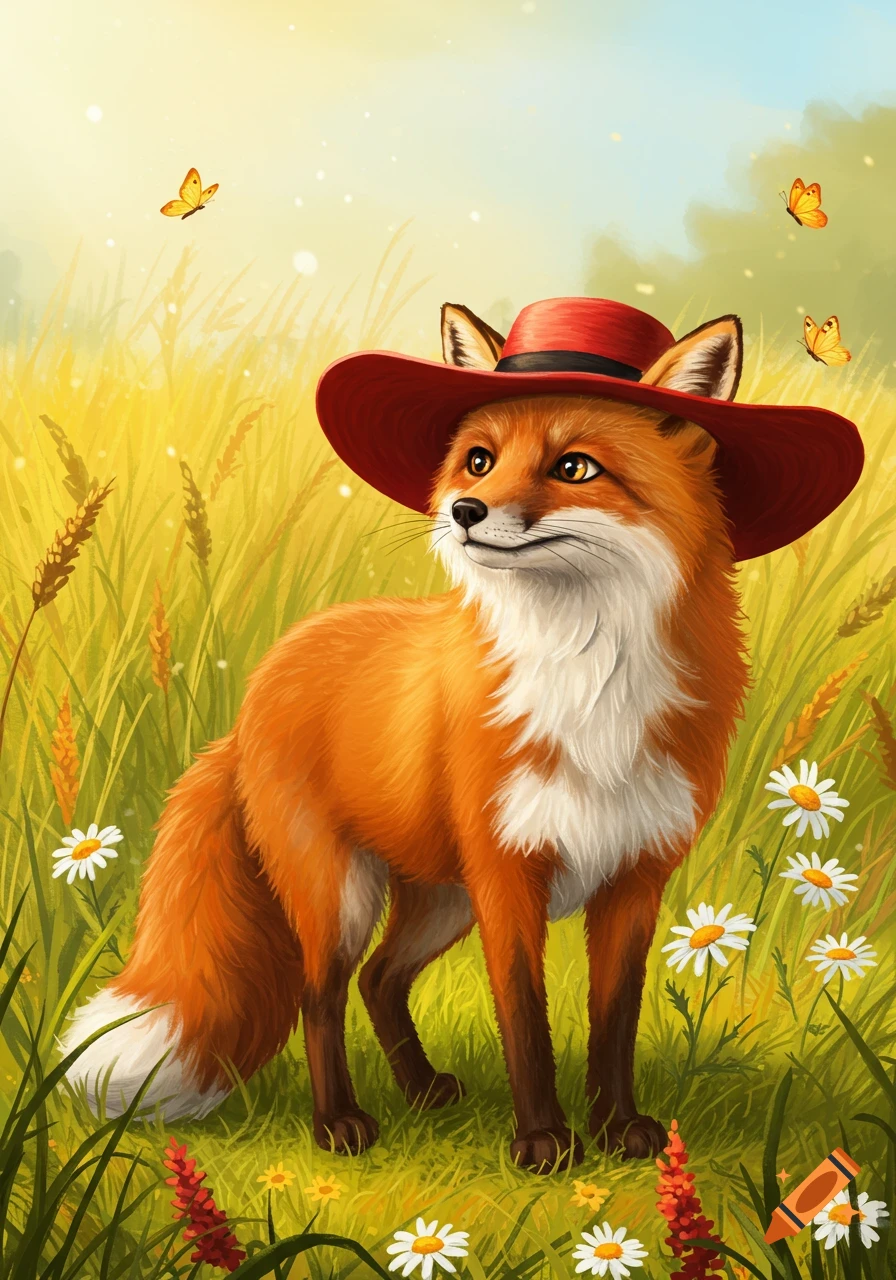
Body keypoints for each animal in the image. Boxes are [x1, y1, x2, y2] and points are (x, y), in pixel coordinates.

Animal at [62, 300, 751, 1172]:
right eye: (478, 461)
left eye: (575, 467)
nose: (464, 513)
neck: (589, 678)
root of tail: (257, 688)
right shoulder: (506, 874)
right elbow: (525, 1019)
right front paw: (542, 1143)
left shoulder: (635, 875)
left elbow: (613, 1024)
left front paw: (617, 1129)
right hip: (342, 894)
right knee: (322, 995)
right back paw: (340, 1124)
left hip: (438, 900)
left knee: (381, 980)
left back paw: (421, 1090)